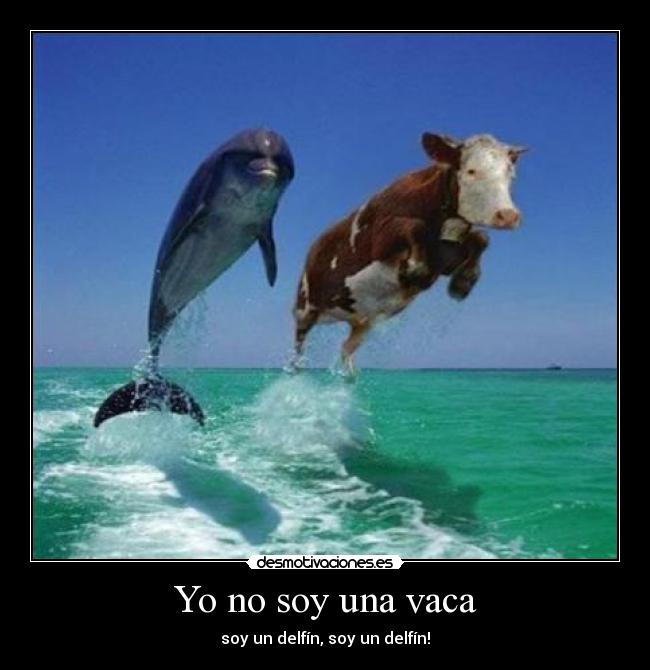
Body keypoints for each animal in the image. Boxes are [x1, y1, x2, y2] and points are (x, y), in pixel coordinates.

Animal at [291, 132, 527, 374]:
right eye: (471, 171)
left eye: (511, 174)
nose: (508, 216)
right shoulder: (380, 237)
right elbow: (415, 227)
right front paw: (414, 271)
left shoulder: (446, 258)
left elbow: (481, 238)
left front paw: (462, 284)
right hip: (305, 306)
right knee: (299, 345)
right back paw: (297, 369)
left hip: (363, 321)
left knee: (346, 347)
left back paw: (350, 375)